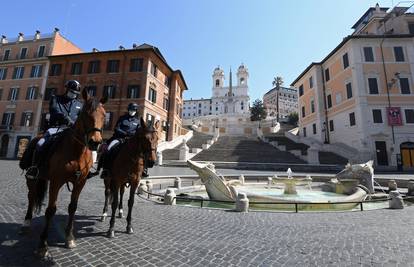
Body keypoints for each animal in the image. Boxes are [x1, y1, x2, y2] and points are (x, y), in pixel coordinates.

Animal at [21, 89, 106, 258]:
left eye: (104, 115)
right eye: (85, 114)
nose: (95, 142)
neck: (76, 152)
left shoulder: (80, 182)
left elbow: (72, 207)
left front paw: (69, 238)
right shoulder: (56, 181)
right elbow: (50, 210)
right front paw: (43, 244)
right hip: (32, 178)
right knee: (31, 196)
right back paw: (27, 222)